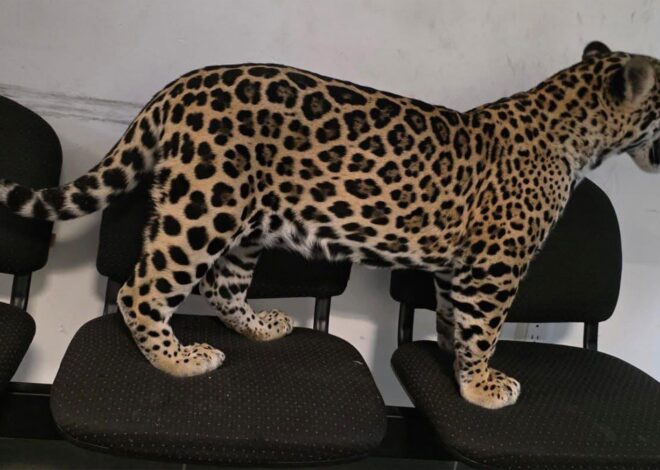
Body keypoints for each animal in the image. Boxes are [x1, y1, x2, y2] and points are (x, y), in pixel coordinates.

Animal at [1, 41, 658, 409]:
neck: (576, 132)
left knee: (222, 286)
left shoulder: (463, 266)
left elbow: (455, 317)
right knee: (143, 289)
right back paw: (179, 358)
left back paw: (259, 328)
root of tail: (181, 84)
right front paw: (482, 387)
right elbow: (485, 329)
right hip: (205, 207)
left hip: (245, 221)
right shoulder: (496, 267)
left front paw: (452, 358)